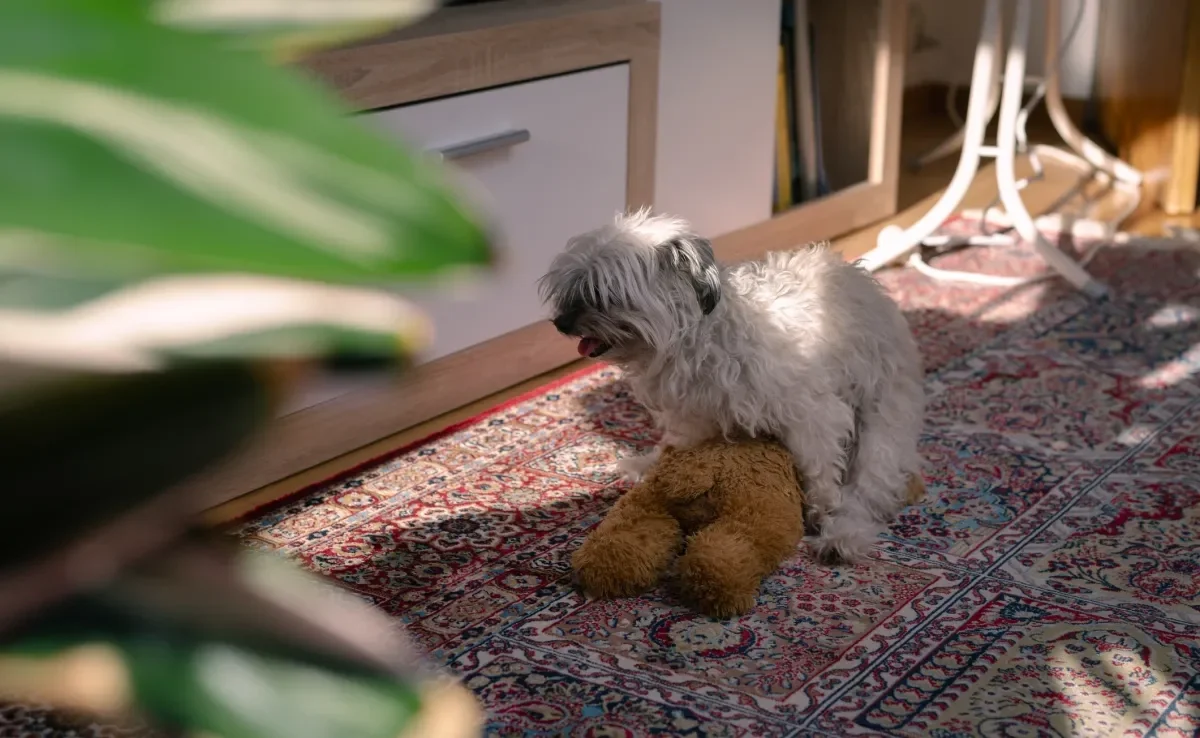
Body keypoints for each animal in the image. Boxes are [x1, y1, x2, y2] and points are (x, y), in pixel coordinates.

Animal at [540, 211, 921, 564]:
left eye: (600, 292)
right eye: (570, 286)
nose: (561, 323)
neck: (699, 337)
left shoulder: (813, 416)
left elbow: (821, 470)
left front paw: (822, 510)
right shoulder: (692, 417)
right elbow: (678, 447)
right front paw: (652, 465)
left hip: (880, 423)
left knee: (870, 487)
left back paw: (842, 537)